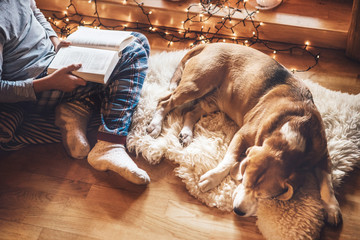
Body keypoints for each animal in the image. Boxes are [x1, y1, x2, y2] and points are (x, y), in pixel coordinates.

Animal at [148, 42, 342, 225]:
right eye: (244, 181)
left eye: (264, 195)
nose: (238, 211)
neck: (296, 128)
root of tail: (211, 44)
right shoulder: (242, 135)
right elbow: (230, 160)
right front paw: (211, 178)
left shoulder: (322, 154)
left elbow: (327, 183)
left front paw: (332, 208)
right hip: (196, 85)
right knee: (165, 102)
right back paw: (155, 125)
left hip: (212, 100)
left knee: (191, 112)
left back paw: (186, 133)